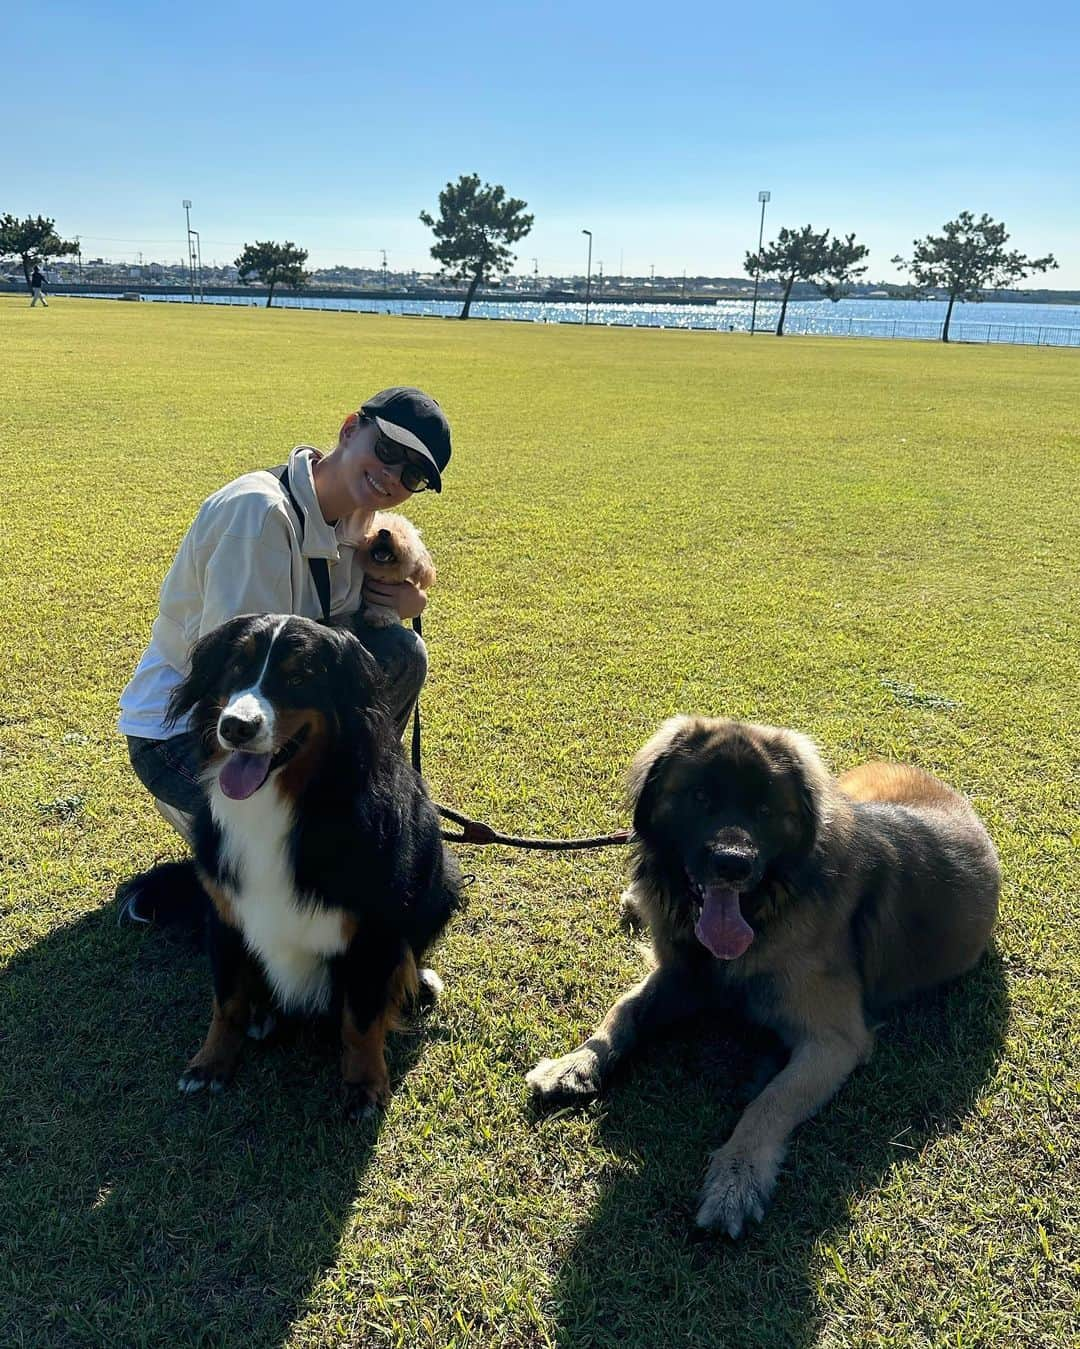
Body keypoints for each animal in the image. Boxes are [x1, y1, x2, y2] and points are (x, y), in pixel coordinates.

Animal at [126, 612, 463, 1116]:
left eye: (299, 678)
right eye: (237, 668)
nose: (235, 727)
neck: (283, 803)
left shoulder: (373, 928)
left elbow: (361, 1019)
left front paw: (364, 1085)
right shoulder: (225, 913)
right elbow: (226, 1001)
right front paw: (210, 1063)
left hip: (443, 878)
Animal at [525, 723, 997, 1235]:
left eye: (767, 809)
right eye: (700, 796)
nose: (733, 864)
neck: (768, 907)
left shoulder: (834, 1042)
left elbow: (767, 1104)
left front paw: (736, 1180)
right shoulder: (682, 976)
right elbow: (623, 1011)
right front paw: (575, 1063)